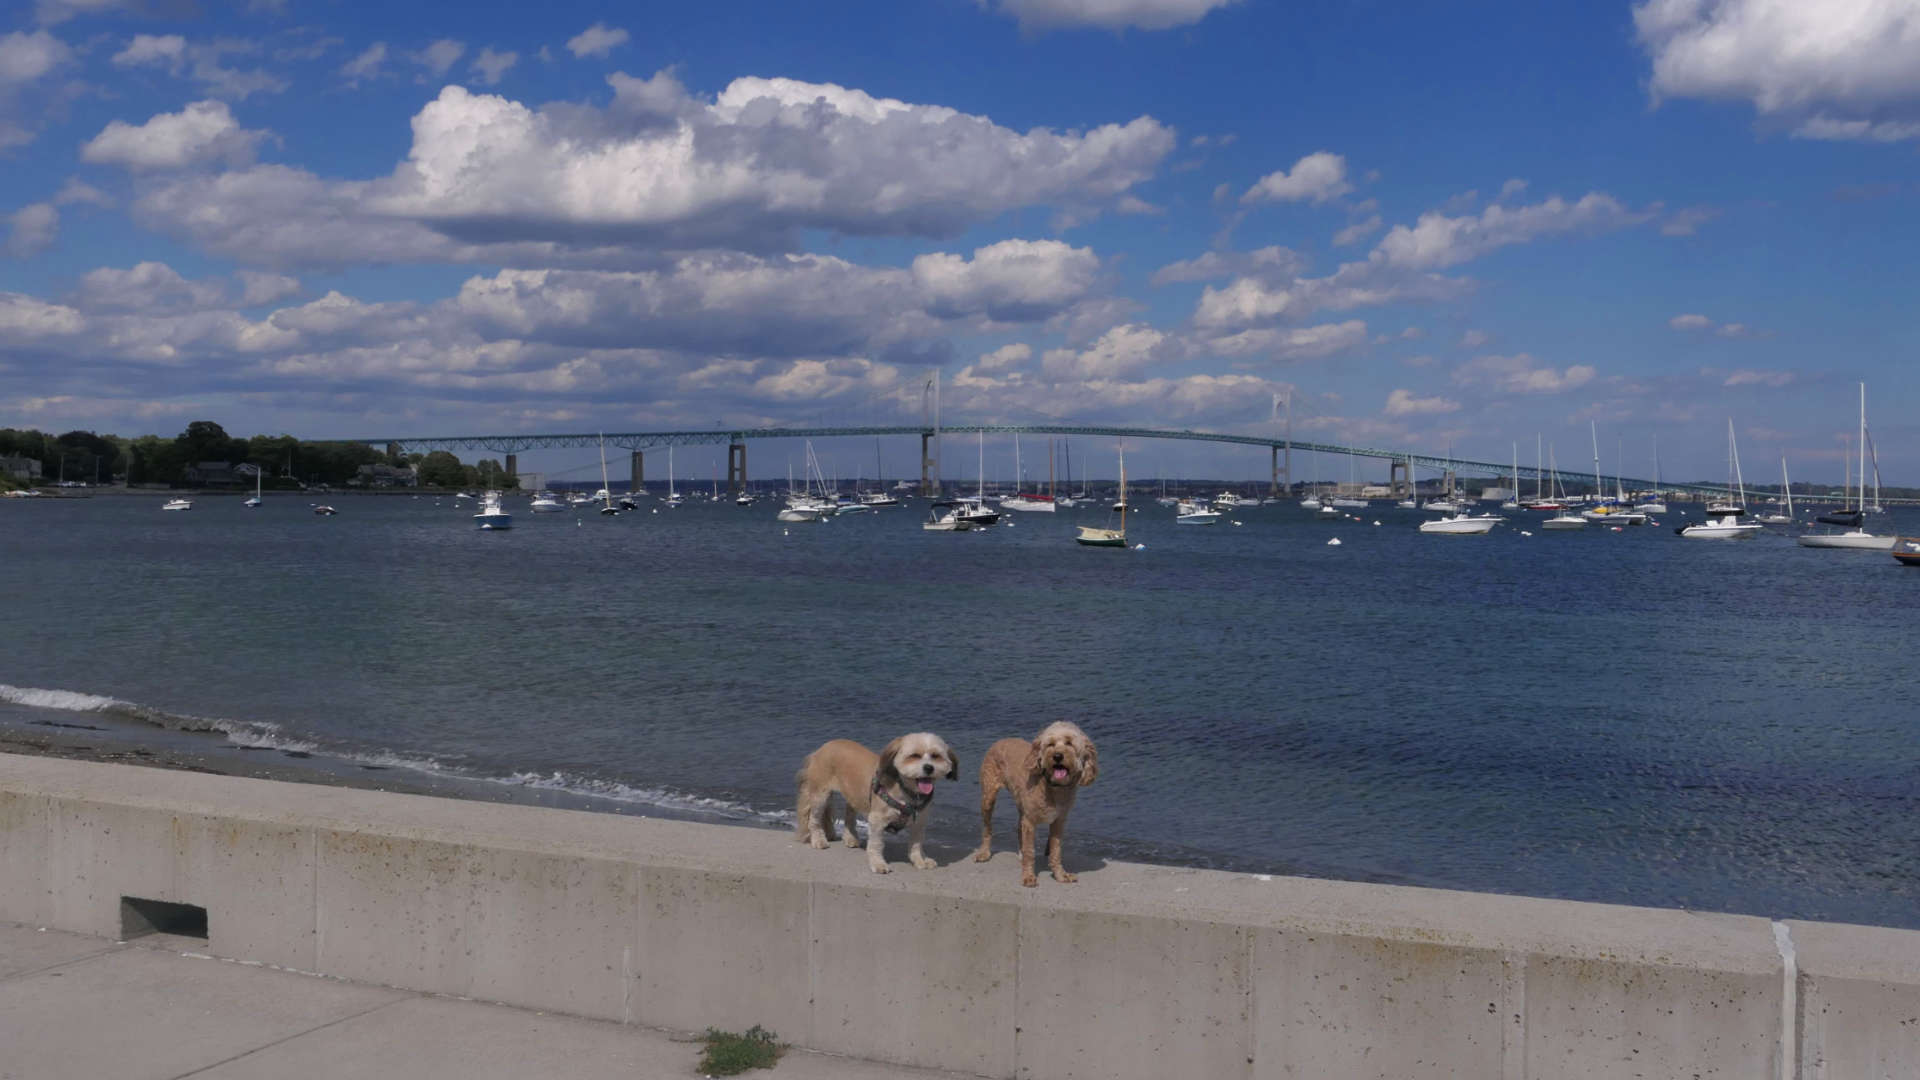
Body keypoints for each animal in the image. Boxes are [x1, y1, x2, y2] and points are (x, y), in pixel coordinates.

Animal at [791, 726, 956, 868]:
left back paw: (850, 838)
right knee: (814, 819)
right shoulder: (877, 819)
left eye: (936, 756)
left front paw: (920, 860)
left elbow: (916, 844)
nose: (929, 768)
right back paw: (818, 840)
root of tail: (821, 749)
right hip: (820, 795)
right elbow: (876, 844)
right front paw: (878, 864)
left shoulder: (919, 822)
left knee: (849, 815)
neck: (907, 792)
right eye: (914, 756)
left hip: (854, 793)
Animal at [975, 722, 1098, 883]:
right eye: (1050, 744)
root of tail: (1001, 740)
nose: (1057, 756)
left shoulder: (1059, 821)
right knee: (987, 827)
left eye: (1069, 743)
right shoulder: (1030, 821)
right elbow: (1030, 851)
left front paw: (1060, 875)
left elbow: (1056, 850)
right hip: (988, 796)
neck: (1053, 787)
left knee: (1018, 827)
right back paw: (984, 852)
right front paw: (1028, 876)